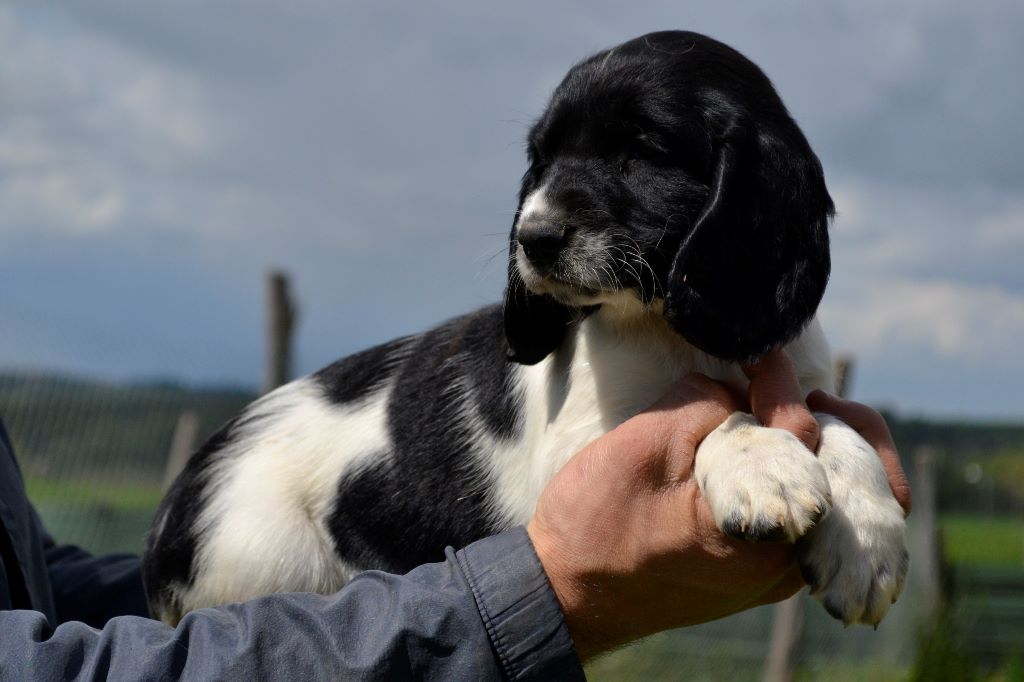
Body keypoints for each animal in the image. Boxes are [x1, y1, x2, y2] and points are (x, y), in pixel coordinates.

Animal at [144, 30, 908, 628]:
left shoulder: (799, 381)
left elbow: (834, 421)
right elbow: (712, 418)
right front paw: (762, 467)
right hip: (262, 559)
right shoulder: (581, 444)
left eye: (644, 150)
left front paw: (866, 540)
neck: (670, 327)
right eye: (540, 160)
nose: (531, 238)